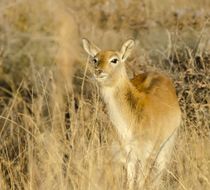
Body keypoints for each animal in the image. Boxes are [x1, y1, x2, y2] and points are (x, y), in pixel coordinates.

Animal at [83, 38, 181, 189]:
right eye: (95, 59)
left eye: (114, 59)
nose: (98, 71)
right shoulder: (128, 157)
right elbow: (129, 184)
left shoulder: (145, 156)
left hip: (167, 145)